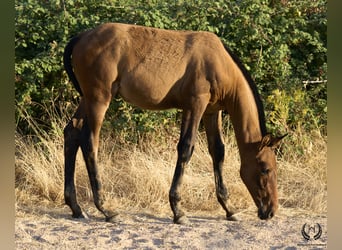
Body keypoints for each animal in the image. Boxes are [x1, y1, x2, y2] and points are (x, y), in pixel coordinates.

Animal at [62, 22, 286, 224]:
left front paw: (229, 209)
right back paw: (106, 209)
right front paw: (178, 210)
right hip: (99, 100)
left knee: (72, 133)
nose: (270, 211)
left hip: (87, 99)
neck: (219, 61)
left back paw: (76, 207)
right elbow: (186, 148)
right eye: (265, 168)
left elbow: (218, 151)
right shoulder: (195, 105)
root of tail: (81, 37)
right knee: (89, 142)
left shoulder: (212, 111)